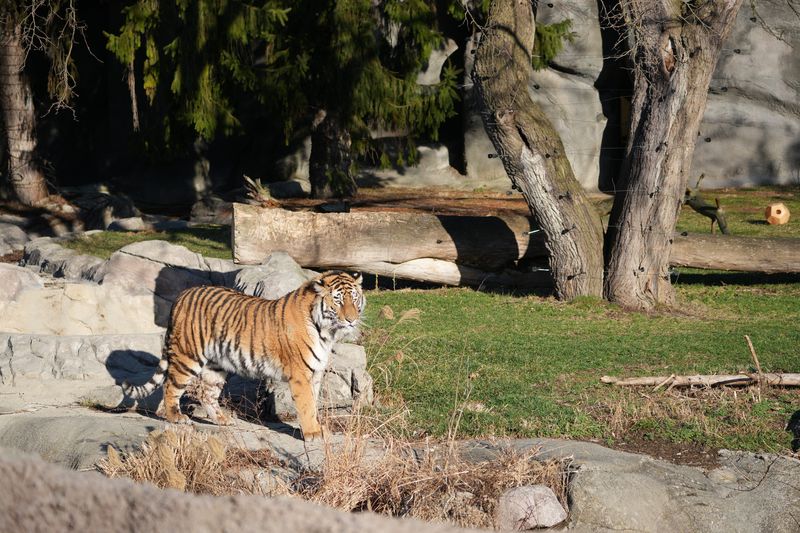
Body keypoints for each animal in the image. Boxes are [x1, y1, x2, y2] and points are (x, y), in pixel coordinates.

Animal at [122, 270, 365, 441]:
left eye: (355, 299)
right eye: (338, 300)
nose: (352, 320)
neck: (327, 332)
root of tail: (183, 294)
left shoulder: (315, 373)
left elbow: (314, 404)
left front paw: (318, 428)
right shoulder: (300, 375)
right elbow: (306, 406)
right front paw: (313, 433)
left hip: (216, 364)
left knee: (206, 393)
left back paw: (223, 420)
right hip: (187, 355)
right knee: (170, 385)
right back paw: (177, 418)